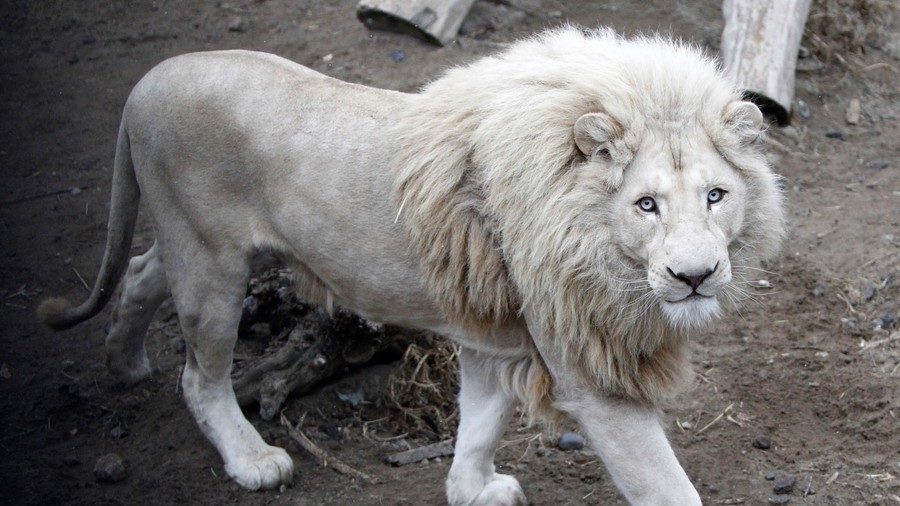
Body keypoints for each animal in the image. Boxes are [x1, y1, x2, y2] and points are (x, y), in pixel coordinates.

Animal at [38, 27, 785, 505]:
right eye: (646, 205)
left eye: (716, 196)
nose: (695, 276)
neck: (595, 239)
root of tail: (149, 79)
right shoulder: (588, 368)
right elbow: (666, 485)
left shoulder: (494, 331)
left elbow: (481, 421)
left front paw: (471, 489)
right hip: (210, 266)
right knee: (199, 375)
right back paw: (252, 459)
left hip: (193, 246)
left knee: (139, 272)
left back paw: (124, 360)